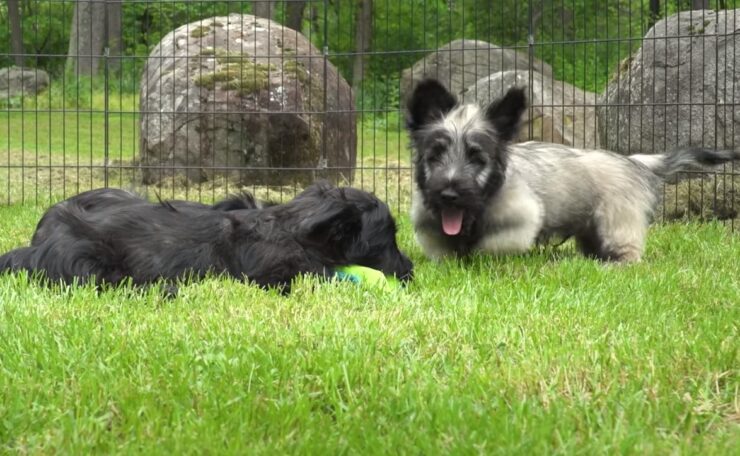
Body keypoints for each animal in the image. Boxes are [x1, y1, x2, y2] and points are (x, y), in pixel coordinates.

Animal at [408, 79, 736, 262]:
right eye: (435, 155)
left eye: (477, 158)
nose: (449, 194)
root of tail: (634, 160)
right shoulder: (431, 227)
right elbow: (444, 252)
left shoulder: (521, 220)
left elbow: (490, 247)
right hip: (592, 229)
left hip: (618, 224)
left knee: (629, 252)